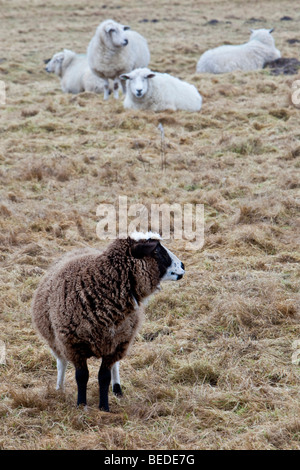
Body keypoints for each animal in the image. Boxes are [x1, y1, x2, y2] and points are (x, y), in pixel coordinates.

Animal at [31, 232, 185, 412]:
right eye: (157, 250)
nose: (182, 265)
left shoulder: (115, 344)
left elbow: (104, 376)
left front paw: (104, 406)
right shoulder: (74, 345)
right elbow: (81, 376)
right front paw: (81, 405)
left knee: (114, 366)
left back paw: (117, 388)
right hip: (56, 340)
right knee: (61, 362)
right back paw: (59, 388)